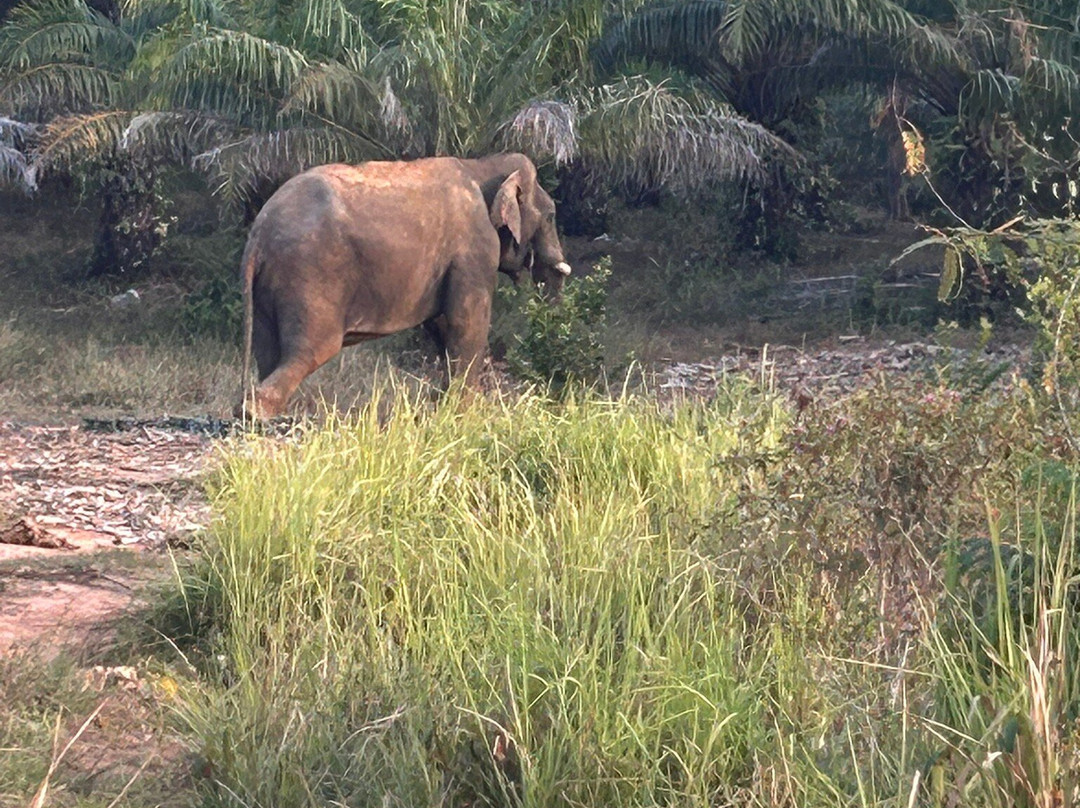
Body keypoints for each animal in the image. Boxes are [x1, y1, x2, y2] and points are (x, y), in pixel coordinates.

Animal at [236, 152, 574, 419]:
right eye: (551, 215)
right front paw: (466, 411)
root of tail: (258, 235)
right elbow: (467, 322)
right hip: (311, 274)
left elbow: (441, 325)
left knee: (270, 351)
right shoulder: (474, 250)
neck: (483, 164)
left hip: (272, 284)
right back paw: (257, 413)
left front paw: (444, 405)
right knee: (312, 349)